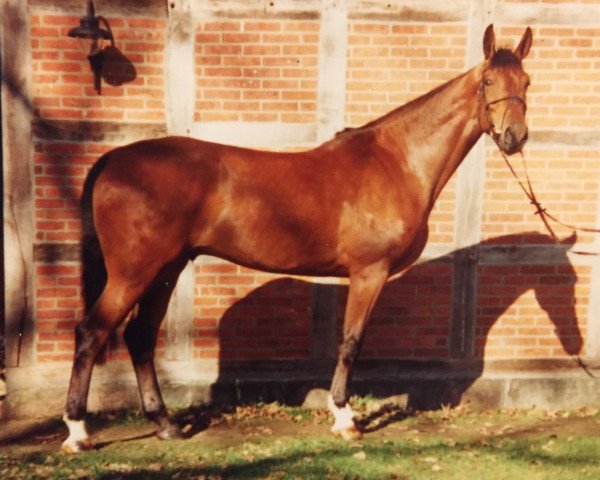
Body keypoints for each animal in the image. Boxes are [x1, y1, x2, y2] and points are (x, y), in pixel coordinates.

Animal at [61, 24, 532, 452]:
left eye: (526, 82)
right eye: (488, 82)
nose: (515, 137)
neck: (397, 161)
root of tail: (114, 159)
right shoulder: (369, 273)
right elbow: (351, 342)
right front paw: (344, 418)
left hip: (166, 270)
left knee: (140, 337)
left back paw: (165, 424)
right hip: (134, 274)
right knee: (91, 332)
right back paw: (78, 432)